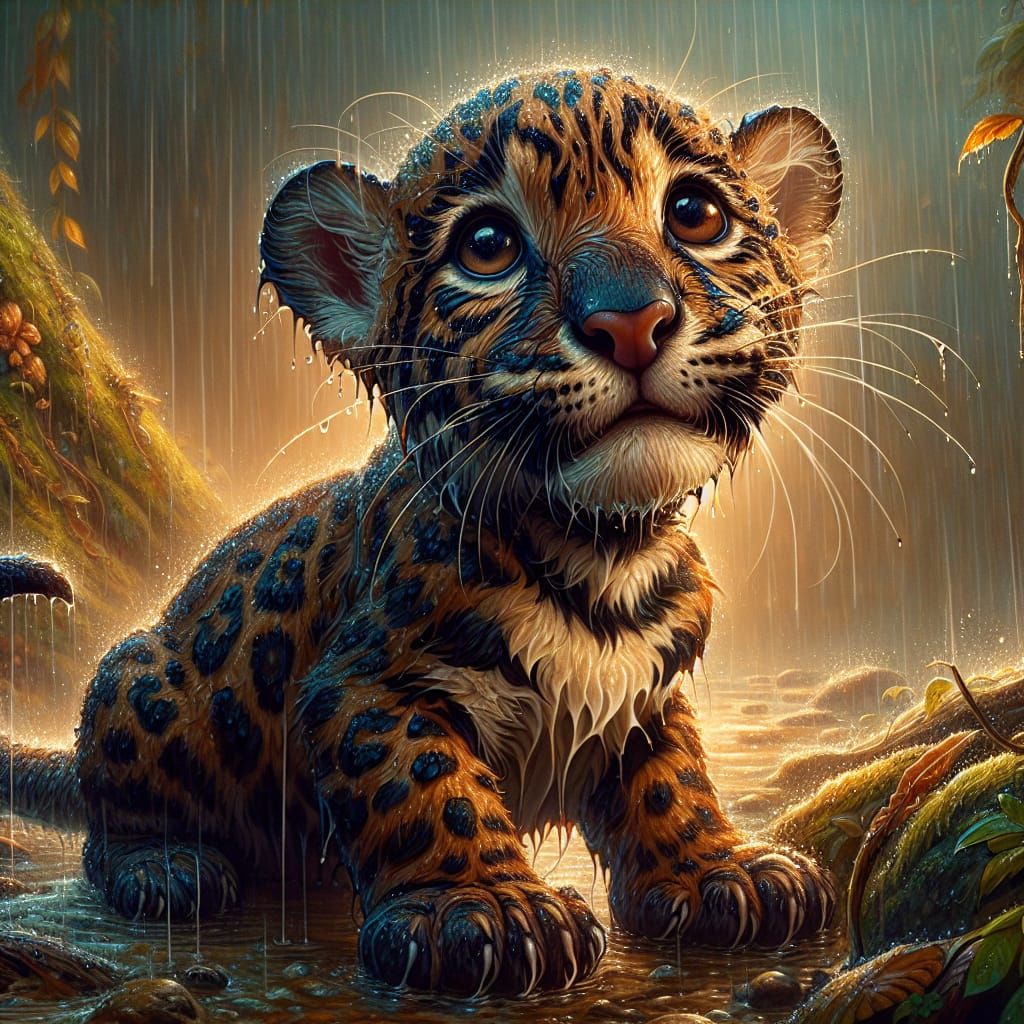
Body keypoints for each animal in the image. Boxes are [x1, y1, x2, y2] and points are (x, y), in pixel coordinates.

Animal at [0, 68, 843, 996]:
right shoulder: (361, 684)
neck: (603, 554)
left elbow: (672, 775)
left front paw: (718, 869)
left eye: (695, 213)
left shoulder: (649, 691)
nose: (630, 322)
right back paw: (168, 867)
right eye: (488, 245)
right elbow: (425, 779)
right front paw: (485, 908)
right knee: (107, 818)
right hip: (140, 683)